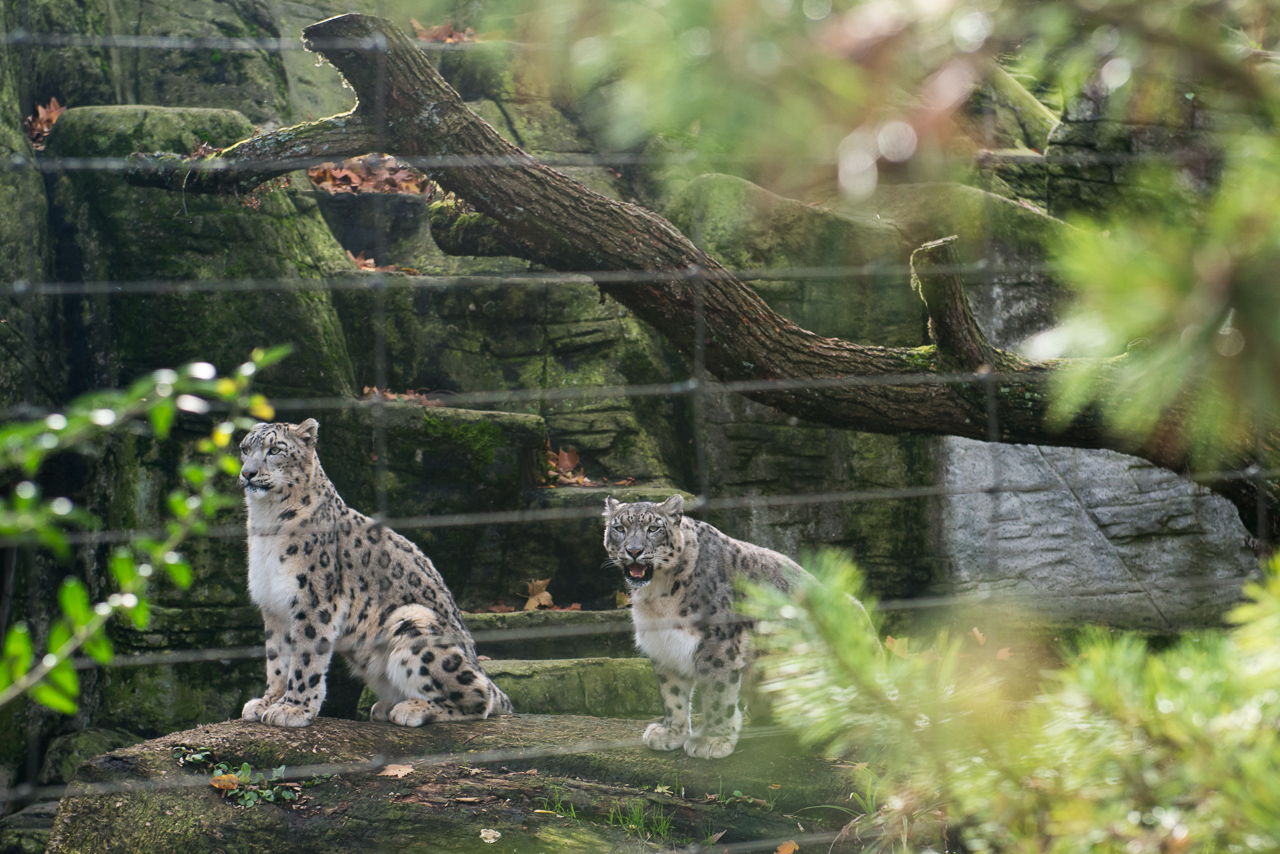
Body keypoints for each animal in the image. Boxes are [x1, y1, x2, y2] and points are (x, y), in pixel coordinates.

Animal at [238, 418, 512, 728]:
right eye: (245, 449)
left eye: (274, 450)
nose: (248, 473)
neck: (266, 523)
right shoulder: (273, 605)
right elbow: (276, 659)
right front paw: (267, 701)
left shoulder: (313, 599)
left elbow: (305, 657)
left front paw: (292, 708)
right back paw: (387, 705)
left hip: (413, 621)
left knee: (479, 695)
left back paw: (413, 708)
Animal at [604, 493, 875, 759]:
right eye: (619, 528)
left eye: (653, 528)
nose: (634, 551)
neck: (657, 595)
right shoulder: (663, 643)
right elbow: (672, 692)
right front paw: (671, 732)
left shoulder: (715, 642)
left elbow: (717, 692)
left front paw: (712, 740)